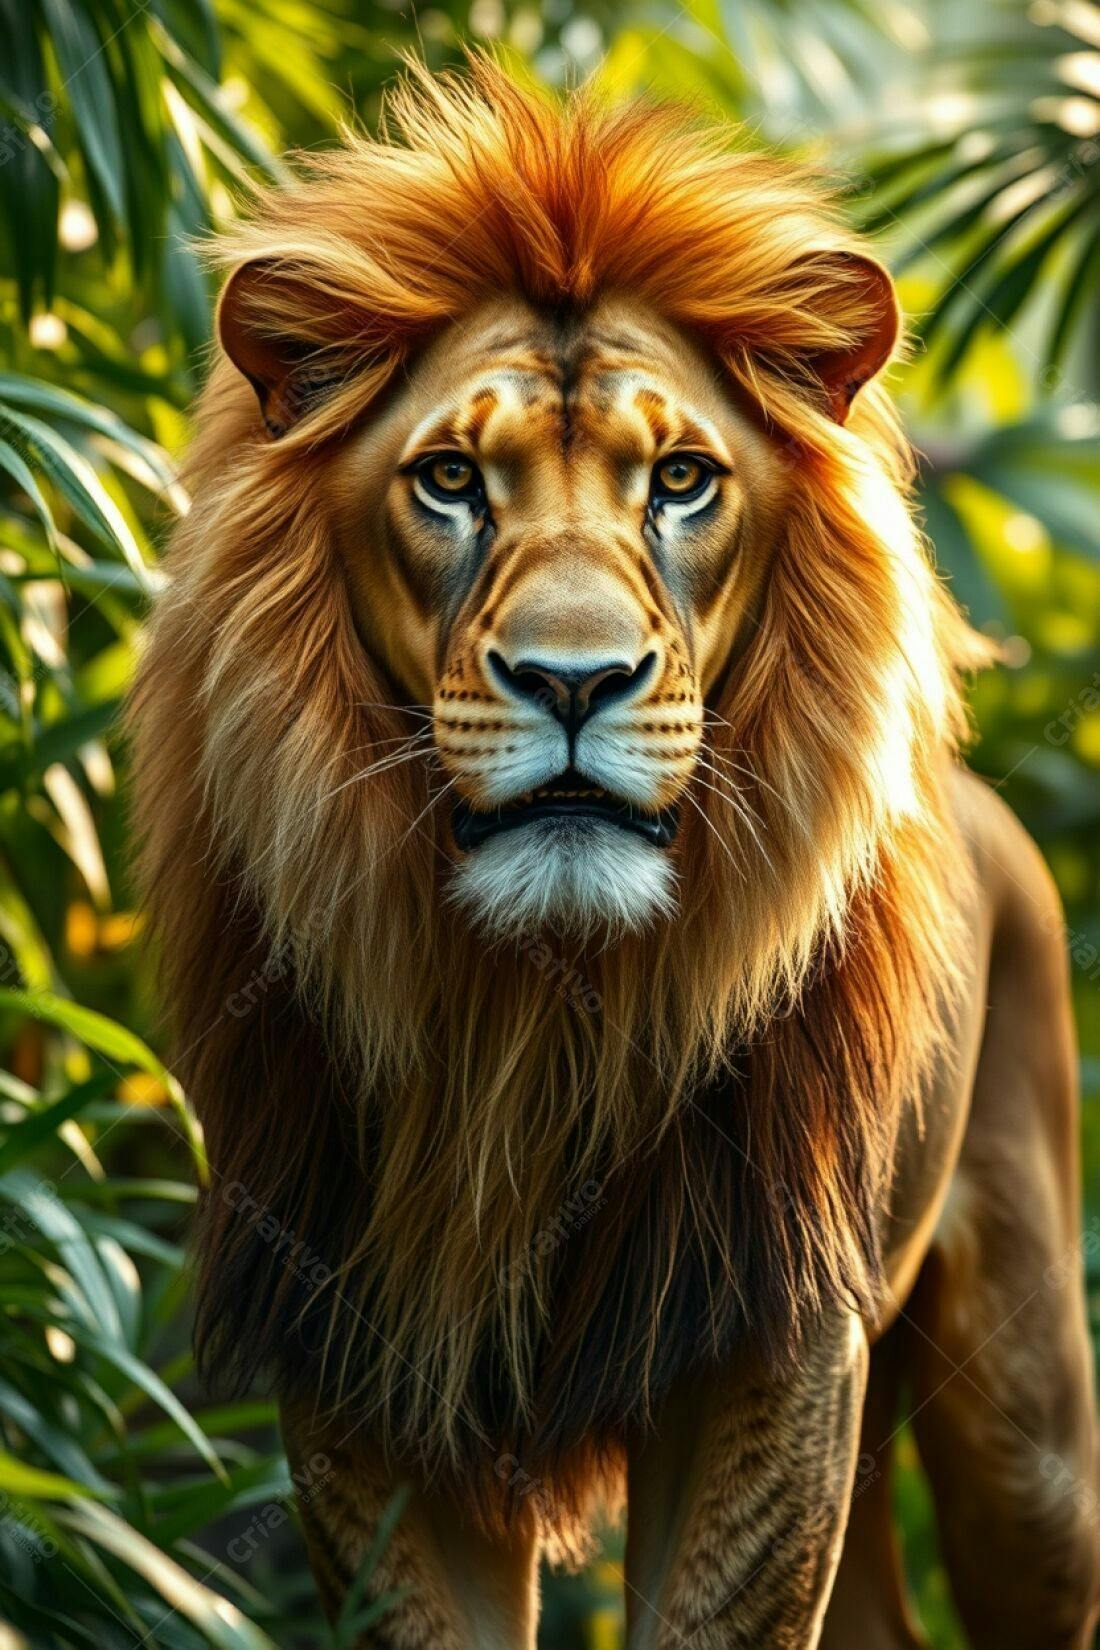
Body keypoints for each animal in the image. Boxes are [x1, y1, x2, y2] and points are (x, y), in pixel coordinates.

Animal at [131, 57, 1099, 1650]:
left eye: (684, 479)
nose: (571, 681)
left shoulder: (759, 1342)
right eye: (451, 480)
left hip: (1029, 1444)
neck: (536, 1013)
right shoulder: (365, 1351)